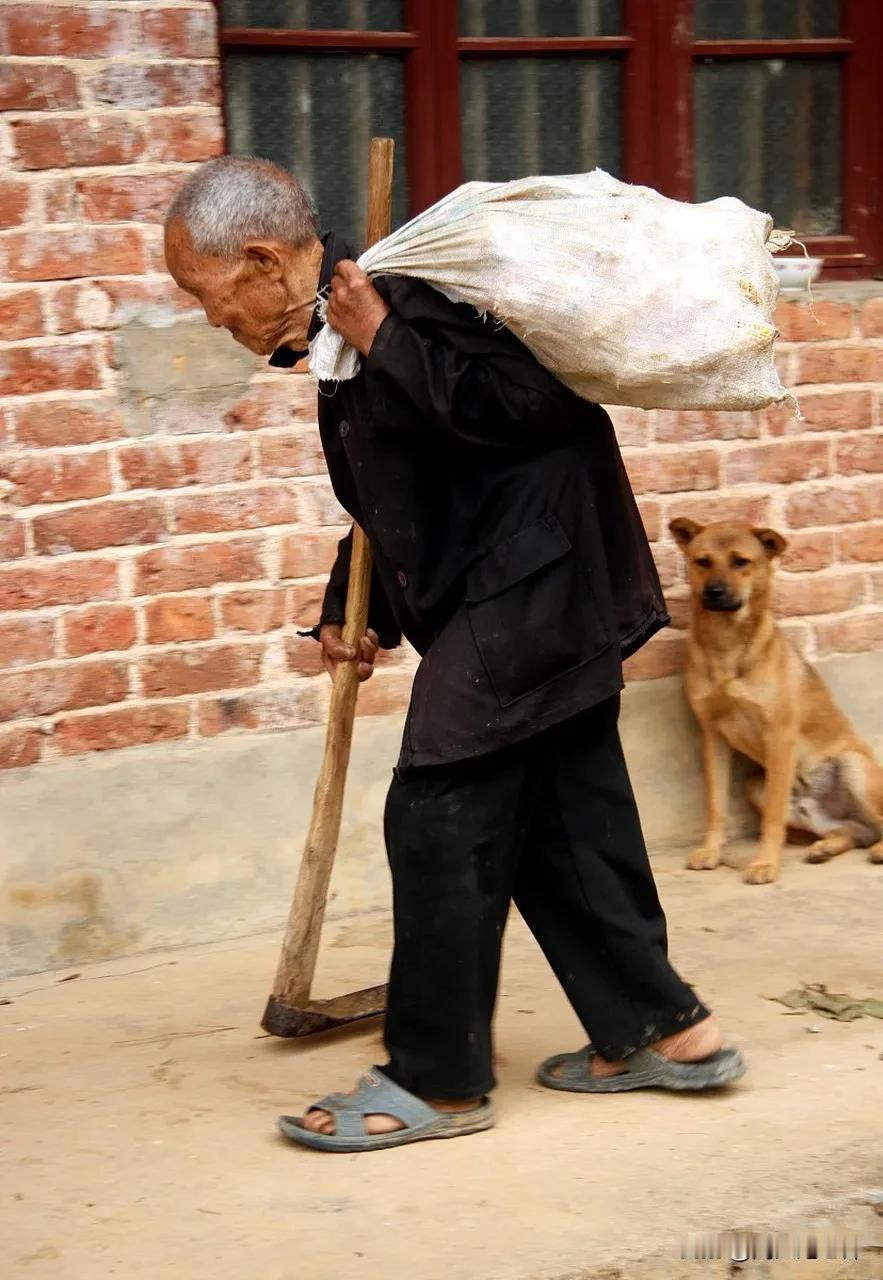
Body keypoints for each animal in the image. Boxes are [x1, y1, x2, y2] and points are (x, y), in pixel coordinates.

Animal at [670, 517, 875, 880]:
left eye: (741, 562)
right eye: (702, 561)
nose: (714, 592)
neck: (727, 646)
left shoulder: (779, 736)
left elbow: (773, 818)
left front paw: (765, 863)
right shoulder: (713, 737)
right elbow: (716, 805)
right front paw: (711, 851)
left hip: (855, 768)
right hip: (756, 786)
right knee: (853, 832)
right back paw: (824, 847)